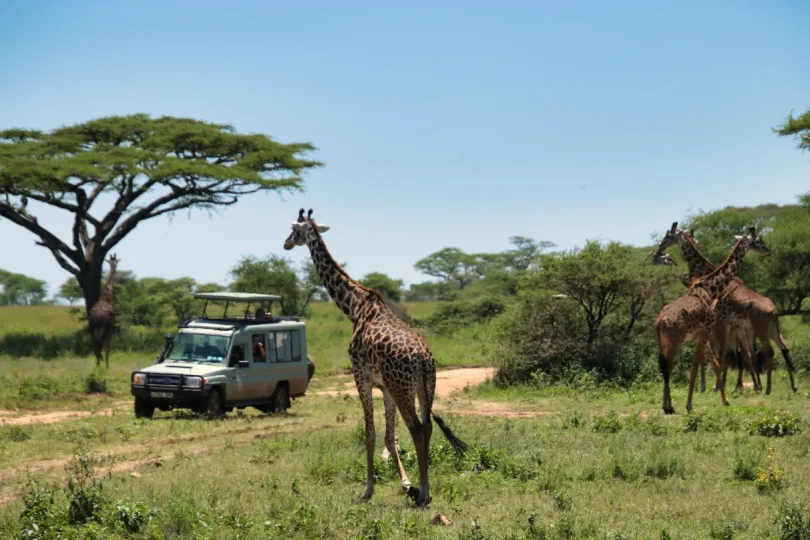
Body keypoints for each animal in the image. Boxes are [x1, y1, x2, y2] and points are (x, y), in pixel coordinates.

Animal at [282, 208, 468, 506]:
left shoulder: (361, 376)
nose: (286, 243)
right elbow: (390, 438)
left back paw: (424, 492)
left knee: (417, 428)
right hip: (424, 387)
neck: (354, 307)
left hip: (404, 389)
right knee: (427, 426)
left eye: (294, 228)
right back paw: (423, 489)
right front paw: (405, 483)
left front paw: (368, 490)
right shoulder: (385, 388)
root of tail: (423, 359)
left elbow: (370, 434)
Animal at [652, 224, 796, 396]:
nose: (658, 249)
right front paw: (721, 385)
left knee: (766, 352)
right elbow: (728, 355)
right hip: (769, 328)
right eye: (758, 240)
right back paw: (786, 386)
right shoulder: (727, 325)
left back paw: (765, 388)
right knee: (779, 348)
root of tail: (774, 310)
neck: (705, 272)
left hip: (759, 329)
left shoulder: (720, 324)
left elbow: (721, 356)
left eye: (668, 236)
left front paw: (713, 386)